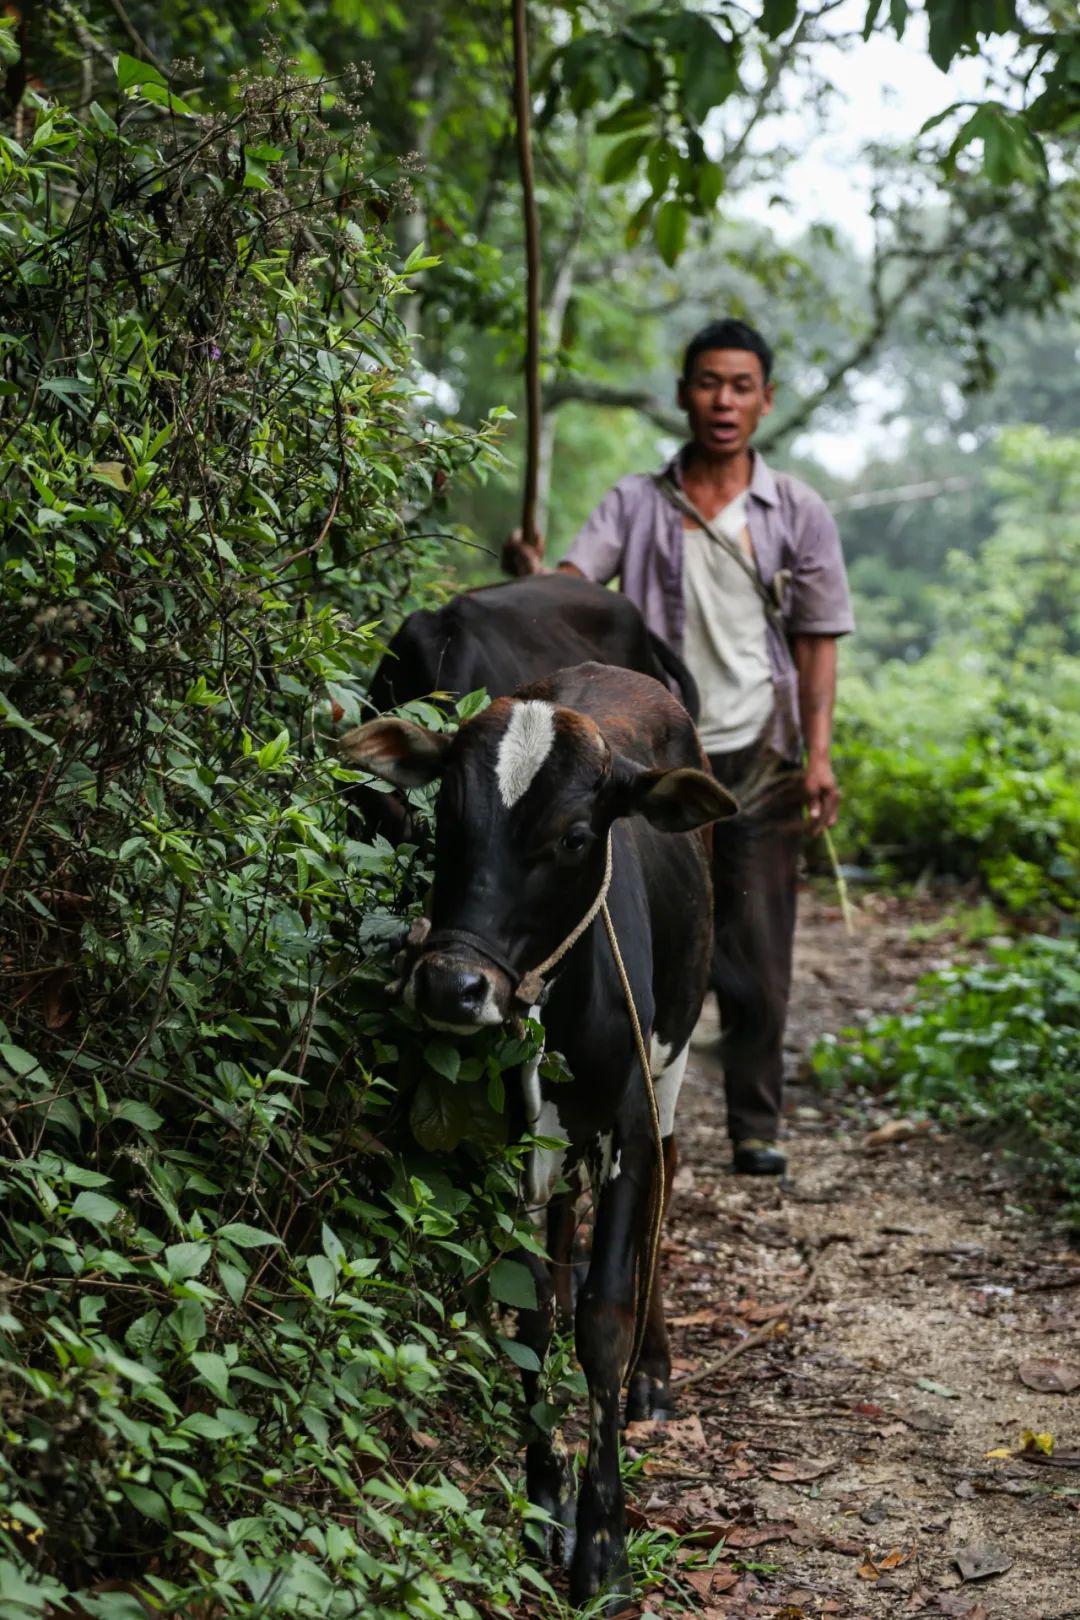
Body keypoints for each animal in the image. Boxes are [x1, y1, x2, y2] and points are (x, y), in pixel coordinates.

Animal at [346, 660, 735, 1607]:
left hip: (671, 1068)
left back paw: (655, 1376)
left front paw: (604, 1546)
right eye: (449, 815)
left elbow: (603, 1317)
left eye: (574, 837)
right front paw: (544, 1503)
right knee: (559, 1242)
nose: (451, 986)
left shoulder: (630, 1121)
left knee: (667, 1184)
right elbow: (530, 1315)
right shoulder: (507, 1149)